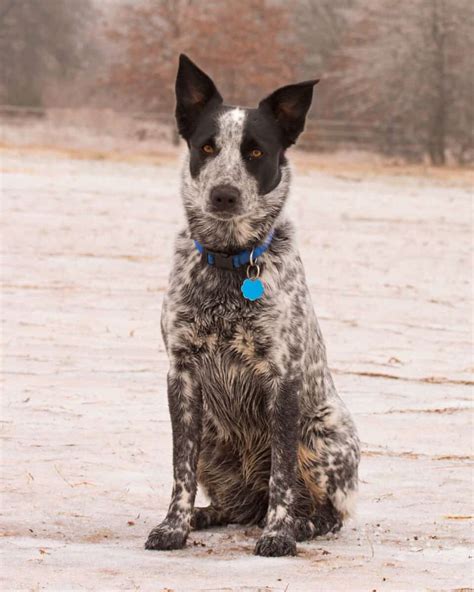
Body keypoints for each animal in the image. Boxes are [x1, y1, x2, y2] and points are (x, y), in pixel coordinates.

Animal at [144, 54, 360, 556]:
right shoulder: (181, 375)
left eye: (256, 153)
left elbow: (282, 473)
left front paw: (279, 534)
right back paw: (207, 516)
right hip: (210, 435)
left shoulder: (283, 380)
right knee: (236, 505)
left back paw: (300, 524)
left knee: (326, 512)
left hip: (324, 432)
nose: (224, 194)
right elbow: (180, 470)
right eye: (207, 147)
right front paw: (174, 526)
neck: (229, 260)